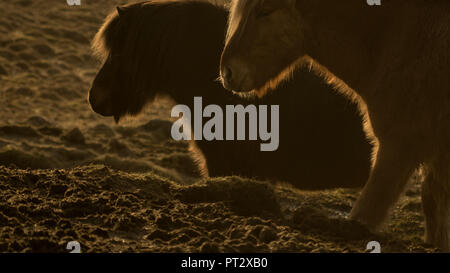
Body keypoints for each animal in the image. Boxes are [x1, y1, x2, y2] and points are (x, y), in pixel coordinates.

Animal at [220, 0, 450, 249]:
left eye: (265, 11)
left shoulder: (399, 146)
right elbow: (434, 206)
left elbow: (365, 214)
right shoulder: (436, 154)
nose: (227, 72)